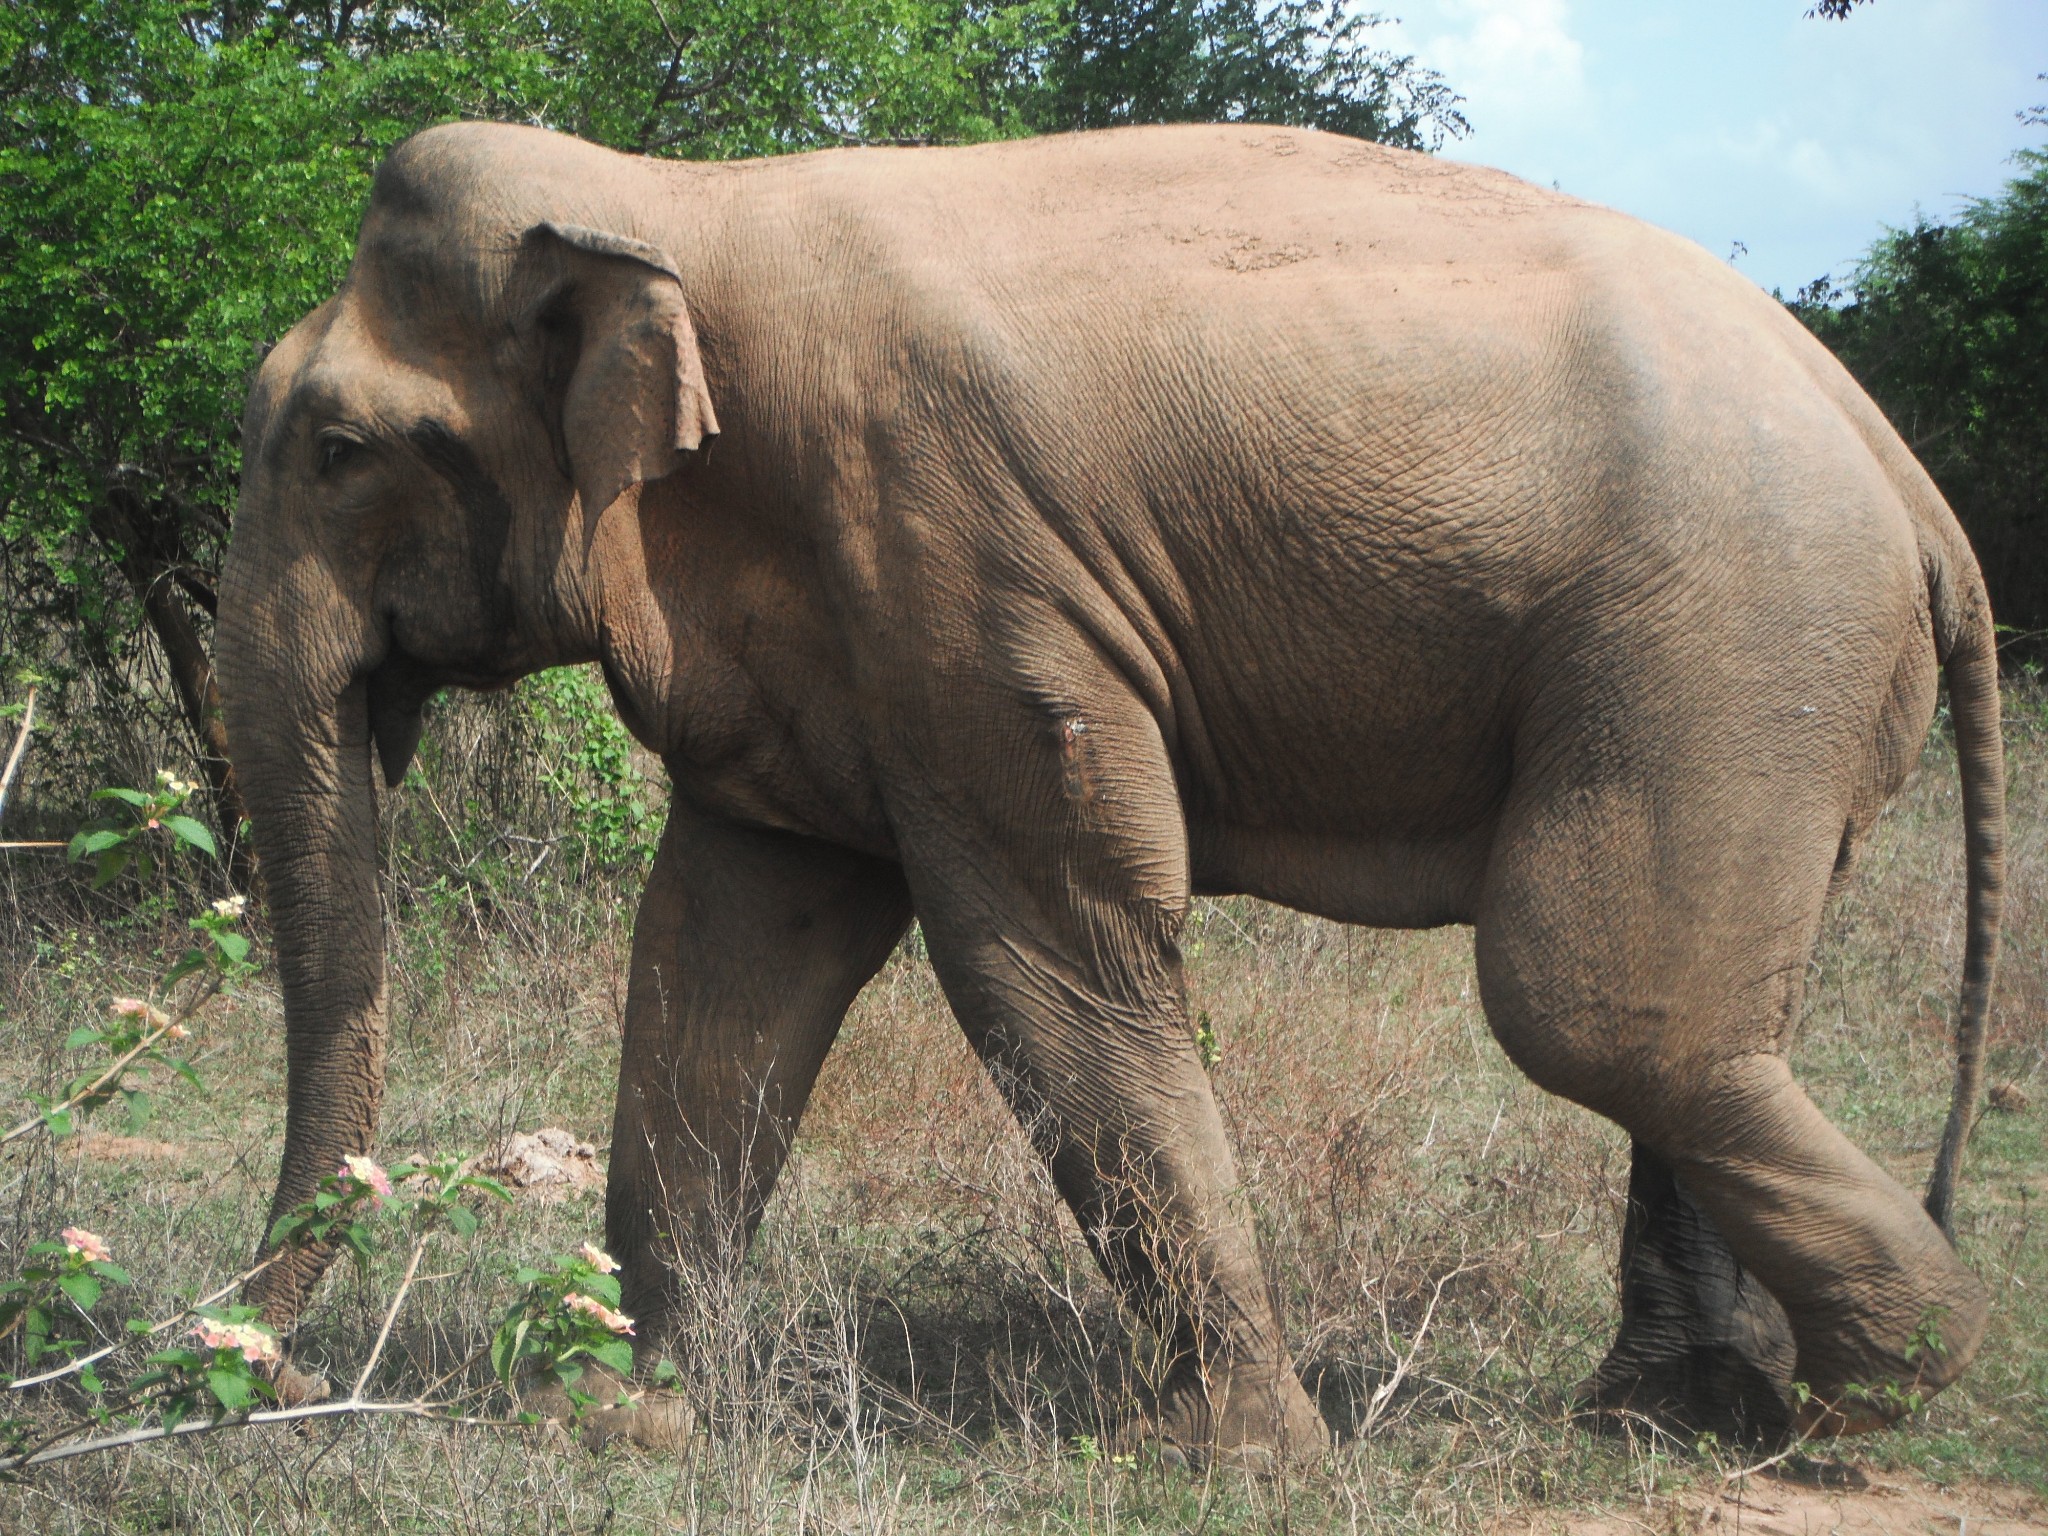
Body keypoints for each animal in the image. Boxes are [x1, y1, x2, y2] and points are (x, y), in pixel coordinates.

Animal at [220, 120, 1998, 1466]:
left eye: (334, 452)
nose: (274, 1374)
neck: (674, 198)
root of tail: (1909, 478)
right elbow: (723, 956)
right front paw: (622, 1419)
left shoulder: (957, 562)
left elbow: (1043, 952)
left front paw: (1246, 1464)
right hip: (1756, 676)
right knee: (1699, 1012)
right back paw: (1680, 1418)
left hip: (1727, 636)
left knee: (1598, 1003)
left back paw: (1879, 1387)